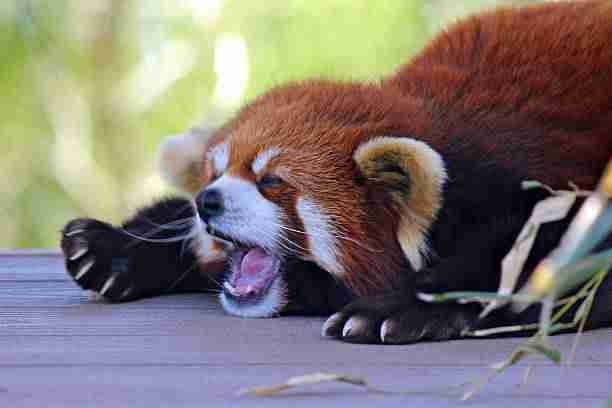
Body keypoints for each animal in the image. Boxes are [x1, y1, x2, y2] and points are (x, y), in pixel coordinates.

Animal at [61, 1, 612, 342]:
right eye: (214, 174)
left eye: (271, 181)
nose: (207, 202)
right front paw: (105, 246)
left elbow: (544, 251)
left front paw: (393, 309)